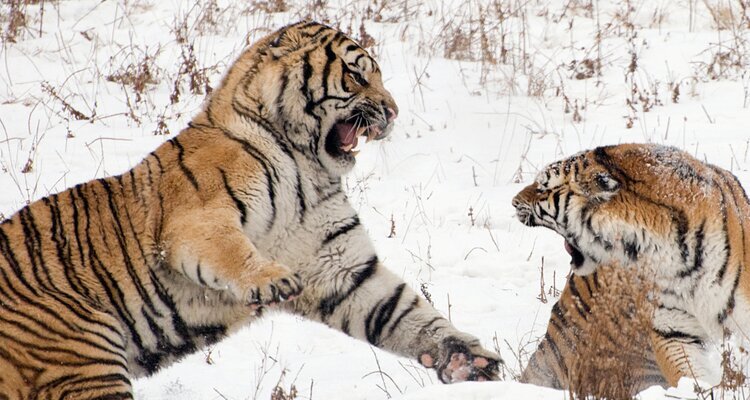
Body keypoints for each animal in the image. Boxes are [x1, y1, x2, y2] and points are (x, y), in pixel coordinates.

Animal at [0, 21, 500, 399]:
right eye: (359, 77)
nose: (393, 113)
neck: (309, 168)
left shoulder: (339, 266)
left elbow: (405, 311)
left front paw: (466, 358)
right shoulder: (198, 219)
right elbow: (231, 251)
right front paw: (272, 280)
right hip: (82, 355)